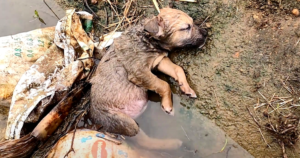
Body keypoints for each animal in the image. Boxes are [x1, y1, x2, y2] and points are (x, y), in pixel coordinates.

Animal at [89, 8, 206, 149]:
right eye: (186, 28)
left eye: (192, 23)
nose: (206, 33)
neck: (148, 38)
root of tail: (93, 118)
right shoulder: (139, 71)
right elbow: (164, 84)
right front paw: (168, 105)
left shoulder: (159, 60)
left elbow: (178, 69)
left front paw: (186, 88)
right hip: (123, 121)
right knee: (143, 140)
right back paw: (173, 144)